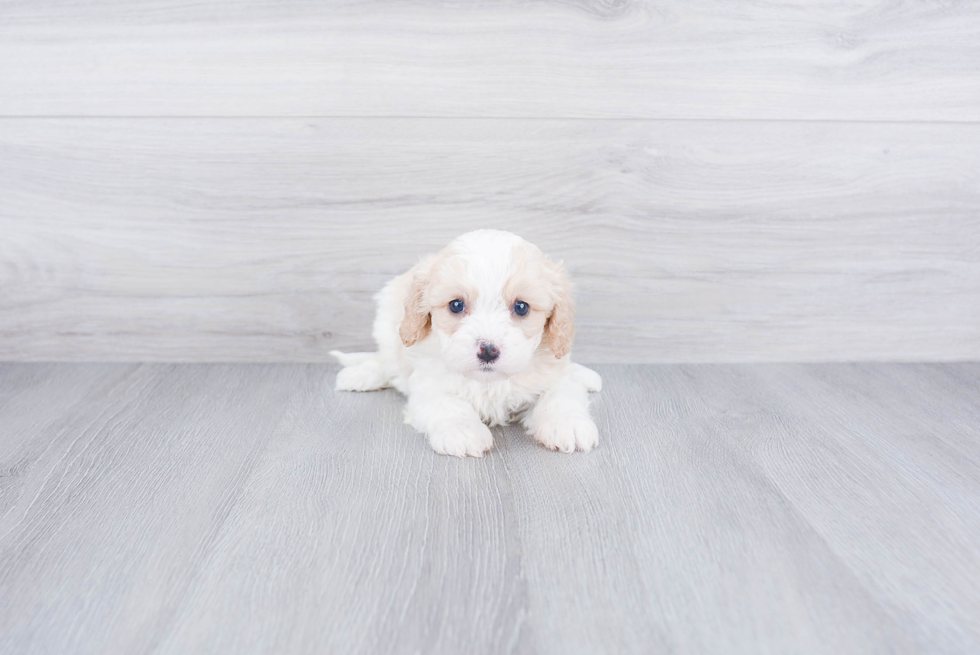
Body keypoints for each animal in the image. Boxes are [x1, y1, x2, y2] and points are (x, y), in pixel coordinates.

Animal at [334, 229, 600, 456]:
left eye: (521, 307)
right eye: (456, 305)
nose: (488, 351)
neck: (488, 382)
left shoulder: (554, 372)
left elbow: (561, 393)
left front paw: (568, 425)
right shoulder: (428, 385)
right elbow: (449, 404)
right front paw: (462, 431)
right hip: (387, 327)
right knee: (386, 363)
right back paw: (359, 375)